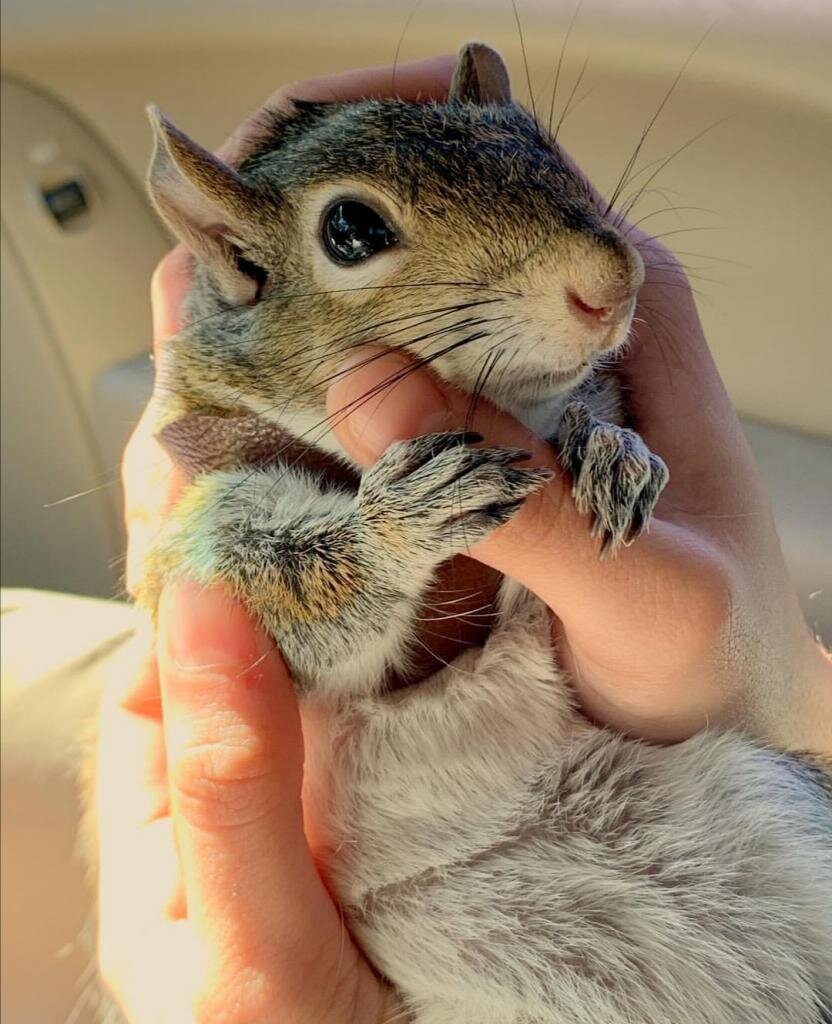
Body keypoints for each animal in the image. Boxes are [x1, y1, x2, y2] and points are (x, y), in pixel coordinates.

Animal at [105, 54, 832, 1024]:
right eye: (349, 229)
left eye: (537, 140)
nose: (615, 283)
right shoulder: (205, 530)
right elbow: (296, 606)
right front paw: (399, 520)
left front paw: (610, 447)